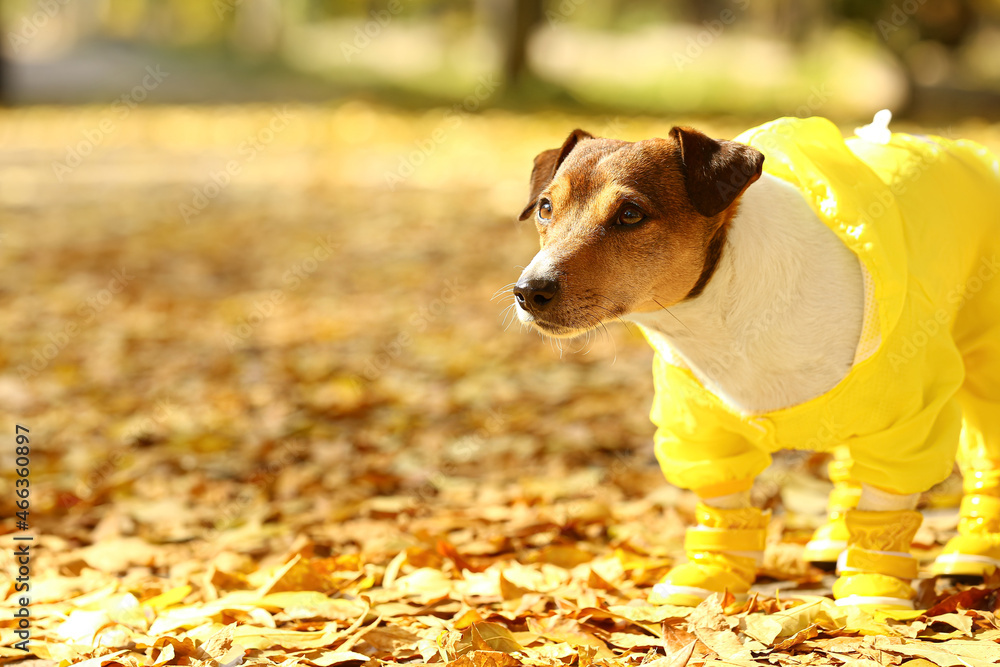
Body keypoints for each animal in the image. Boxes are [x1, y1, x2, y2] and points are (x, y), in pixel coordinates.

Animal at [512, 115, 996, 612]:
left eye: (630, 214)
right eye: (546, 207)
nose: (529, 291)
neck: (723, 312)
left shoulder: (904, 422)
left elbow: (885, 503)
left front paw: (872, 588)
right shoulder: (704, 432)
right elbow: (724, 506)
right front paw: (713, 574)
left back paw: (971, 552)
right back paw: (833, 540)